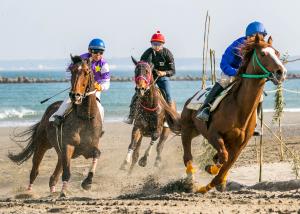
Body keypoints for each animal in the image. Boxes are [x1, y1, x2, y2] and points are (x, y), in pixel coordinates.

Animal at [8, 55, 102, 197]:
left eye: (86, 72)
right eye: (72, 71)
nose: (75, 95)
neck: (85, 118)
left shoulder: (89, 148)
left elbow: (96, 153)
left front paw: (87, 182)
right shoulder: (68, 146)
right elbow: (67, 172)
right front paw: (63, 193)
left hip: (59, 152)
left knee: (54, 175)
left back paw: (52, 190)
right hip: (42, 145)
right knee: (35, 170)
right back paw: (29, 191)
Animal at [182, 34, 288, 193]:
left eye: (277, 53)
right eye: (263, 54)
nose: (281, 72)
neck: (240, 109)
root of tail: (191, 98)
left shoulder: (240, 145)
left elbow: (225, 166)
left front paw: (214, 179)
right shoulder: (213, 133)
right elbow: (224, 158)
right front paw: (210, 172)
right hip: (187, 129)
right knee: (187, 155)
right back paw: (190, 180)